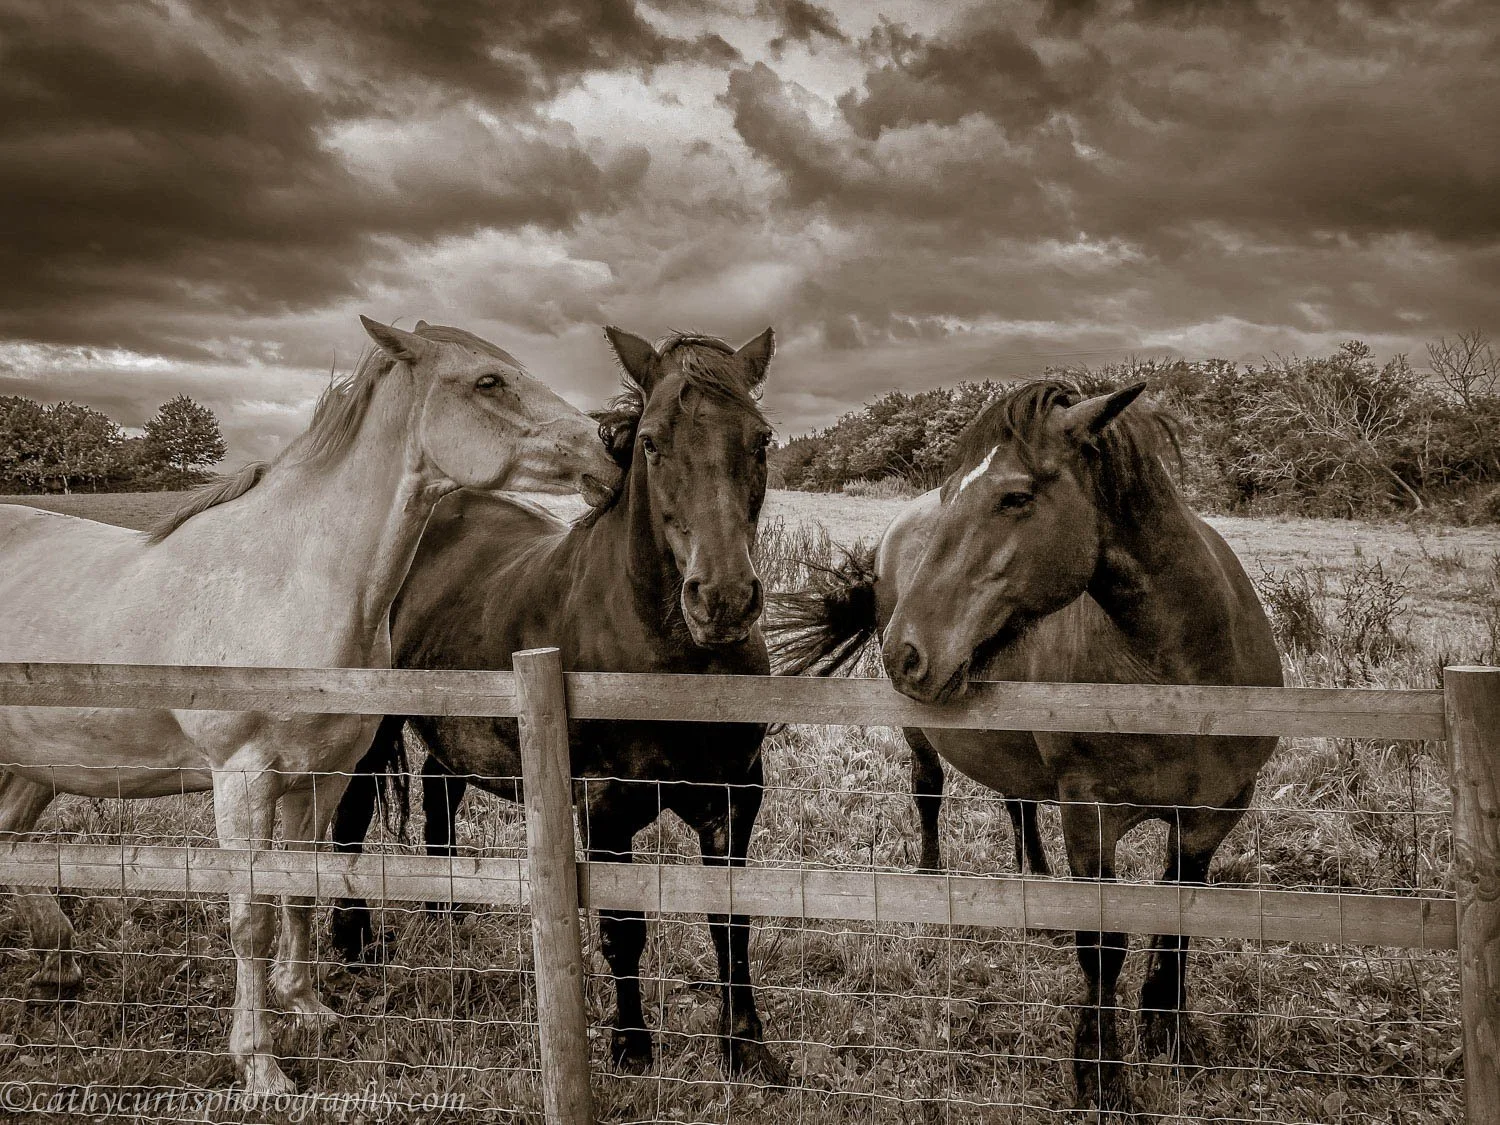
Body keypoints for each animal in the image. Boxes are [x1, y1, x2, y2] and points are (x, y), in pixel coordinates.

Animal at [0, 316, 618, 1097]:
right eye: (488, 381)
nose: (611, 453)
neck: (288, 578)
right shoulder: (243, 782)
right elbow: (251, 918)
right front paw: (260, 1062)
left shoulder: (320, 778)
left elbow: (299, 890)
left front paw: (308, 1006)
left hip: (36, 764)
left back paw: (60, 962)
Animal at [328, 326, 788, 1083]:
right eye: (651, 441)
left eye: (762, 438)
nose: (722, 598)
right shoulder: (604, 806)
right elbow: (624, 931)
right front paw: (631, 1045)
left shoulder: (735, 795)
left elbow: (732, 922)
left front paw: (746, 1044)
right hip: (372, 728)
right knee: (350, 820)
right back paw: (353, 939)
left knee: (438, 795)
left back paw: (447, 909)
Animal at [767, 379, 1283, 1114]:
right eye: (953, 492)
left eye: (1015, 497)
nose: (905, 650)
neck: (1183, 678)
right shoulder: (1091, 814)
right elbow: (1104, 944)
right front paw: (1101, 1075)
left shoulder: (1213, 817)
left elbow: (1178, 921)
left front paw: (1171, 1035)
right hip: (922, 735)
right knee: (928, 792)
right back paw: (931, 879)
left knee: (1018, 801)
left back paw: (1037, 890)